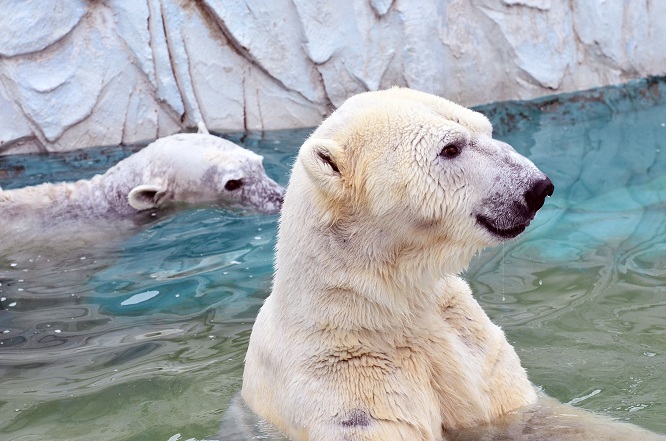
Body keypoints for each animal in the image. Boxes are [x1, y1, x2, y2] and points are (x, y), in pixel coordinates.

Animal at [240, 87, 664, 440]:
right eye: (451, 148)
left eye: (485, 129)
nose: (537, 187)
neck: (383, 304)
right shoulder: (348, 386)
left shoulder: (471, 344)